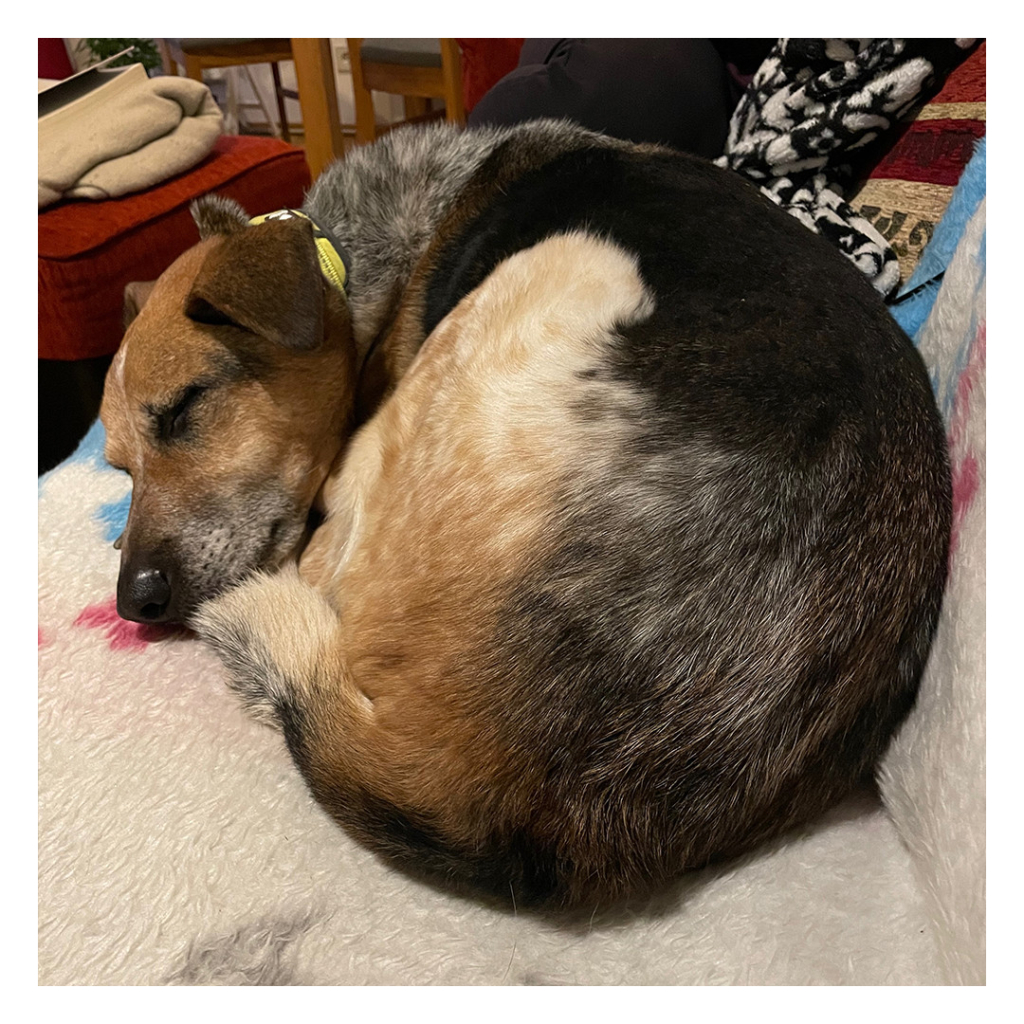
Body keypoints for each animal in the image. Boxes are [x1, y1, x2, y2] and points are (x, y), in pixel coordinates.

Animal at [97, 121, 950, 913]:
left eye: (185, 408)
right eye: (118, 467)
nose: (134, 603)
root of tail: (506, 796)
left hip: (571, 258)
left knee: (329, 552)